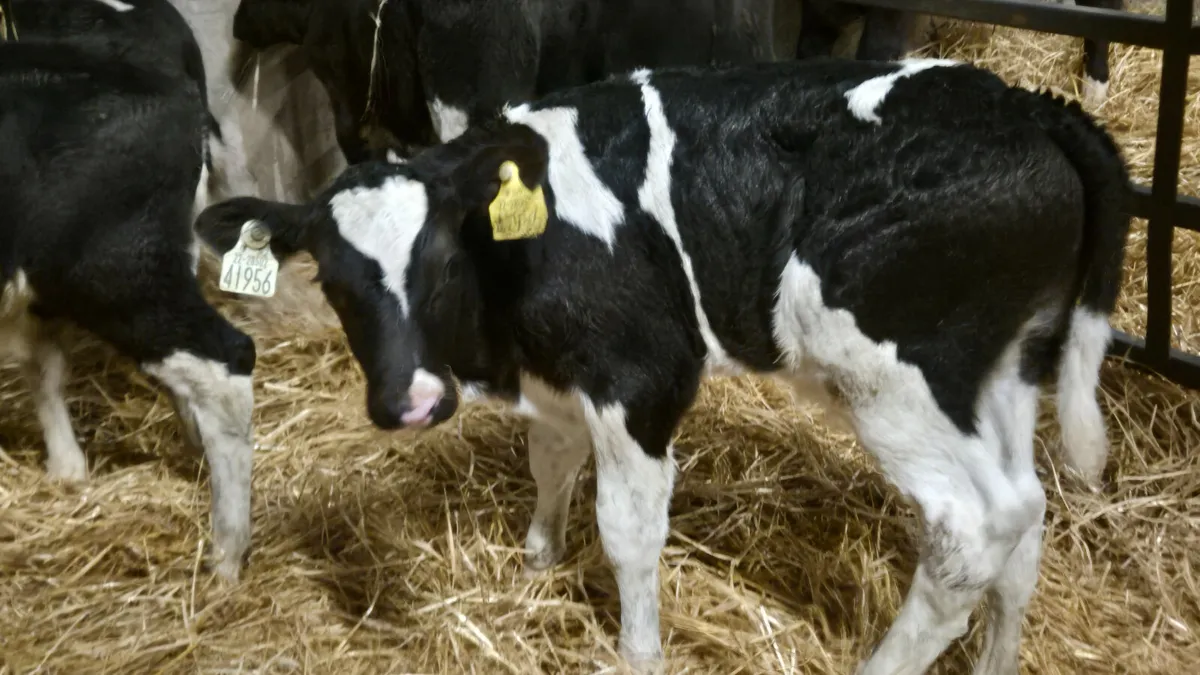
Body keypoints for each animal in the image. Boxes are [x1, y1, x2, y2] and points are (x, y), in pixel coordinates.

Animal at [196, 57, 1130, 672]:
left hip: (895, 374)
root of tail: (1027, 106)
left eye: (442, 260)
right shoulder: (563, 377)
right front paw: (538, 556)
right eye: (333, 279)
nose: (412, 401)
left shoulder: (640, 374)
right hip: (999, 371)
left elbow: (628, 529)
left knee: (975, 527)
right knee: (1027, 512)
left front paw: (636, 650)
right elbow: (551, 460)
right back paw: (998, 660)